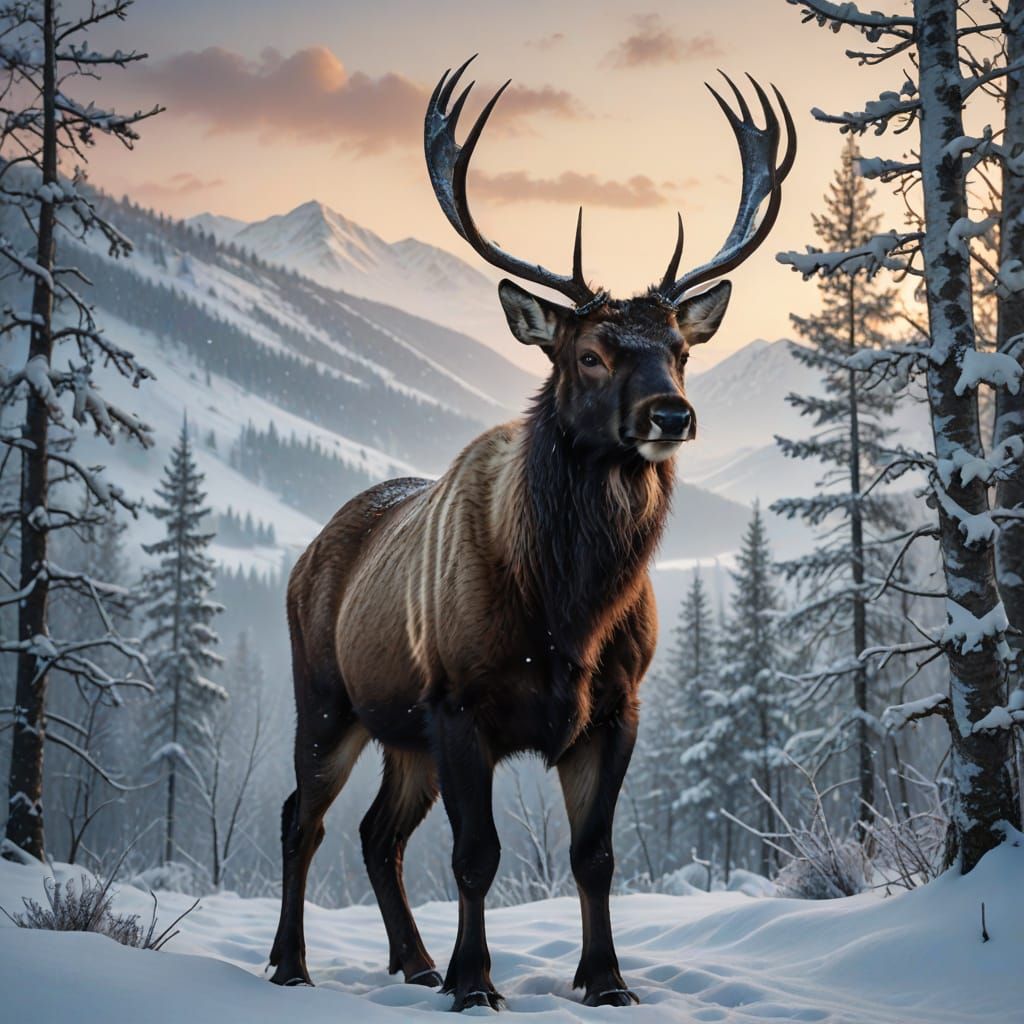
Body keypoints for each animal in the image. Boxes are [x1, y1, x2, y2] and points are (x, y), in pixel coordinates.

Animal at [268, 55, 794, 1011]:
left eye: (681, 350)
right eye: (589, 354)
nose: (672, 413)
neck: (568, 612)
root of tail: (309, 553)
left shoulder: (615, 707)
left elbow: (596, 855)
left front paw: (607, 981)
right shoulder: (458, 701)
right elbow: (477, 856)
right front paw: (477, 983)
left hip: (403, 732)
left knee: (376, 832)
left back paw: (414, 961)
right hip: (327, 695)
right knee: (304, 818)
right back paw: (292, 962)